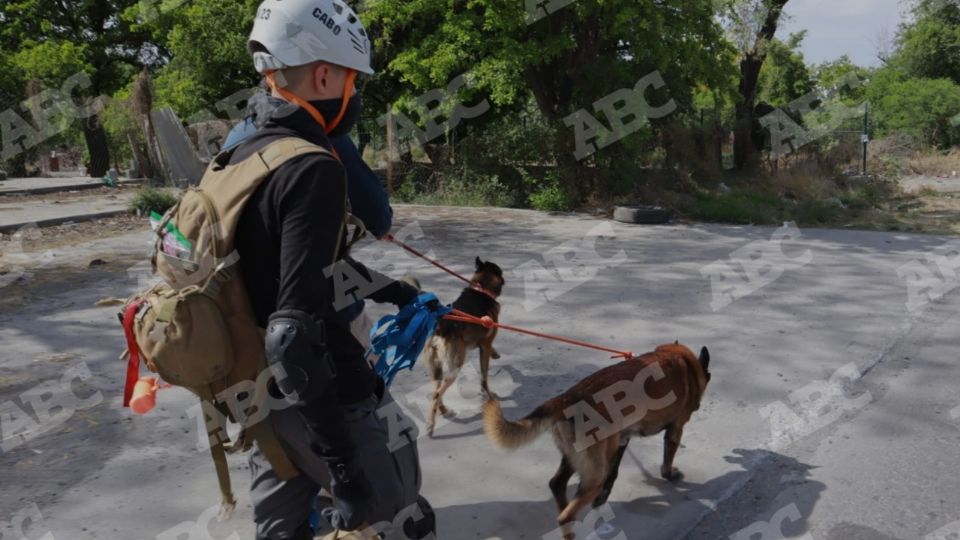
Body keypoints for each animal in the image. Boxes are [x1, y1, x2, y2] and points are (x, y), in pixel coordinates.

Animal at [424, 255, 506, 436]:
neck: (481, 288)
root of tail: (441, 327)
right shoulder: (485, 345)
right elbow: (484, 378)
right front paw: (489, 396)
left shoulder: (483, 344)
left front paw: (496, 353)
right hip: (455, 366)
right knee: (437, 394)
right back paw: (431, 424)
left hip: (436, 369)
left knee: (435, 392)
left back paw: (443, 410)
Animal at [484, 344, 708, 536]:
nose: (698, 406)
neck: (682, 360)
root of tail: (564, 399)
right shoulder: (676, 429)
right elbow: (668, 455)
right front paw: (669, 474)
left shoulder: (621, 440)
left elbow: (614, 473)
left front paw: (603, 497)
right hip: (594, 472)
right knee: (565, 515)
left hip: (577, 457)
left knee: (557, 485)